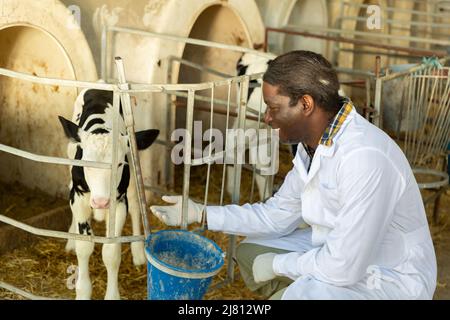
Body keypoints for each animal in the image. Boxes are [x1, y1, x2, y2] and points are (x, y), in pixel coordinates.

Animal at [59, 88, 159, 300]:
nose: (101, 202)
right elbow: (84, 246)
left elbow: (111, 252)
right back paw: (71, 238)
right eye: (87, 162)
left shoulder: (119, 202)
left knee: (136, 204)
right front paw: (83, 292)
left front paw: (112, 295)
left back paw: (138, 252)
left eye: (119, 164)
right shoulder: (79, 195)